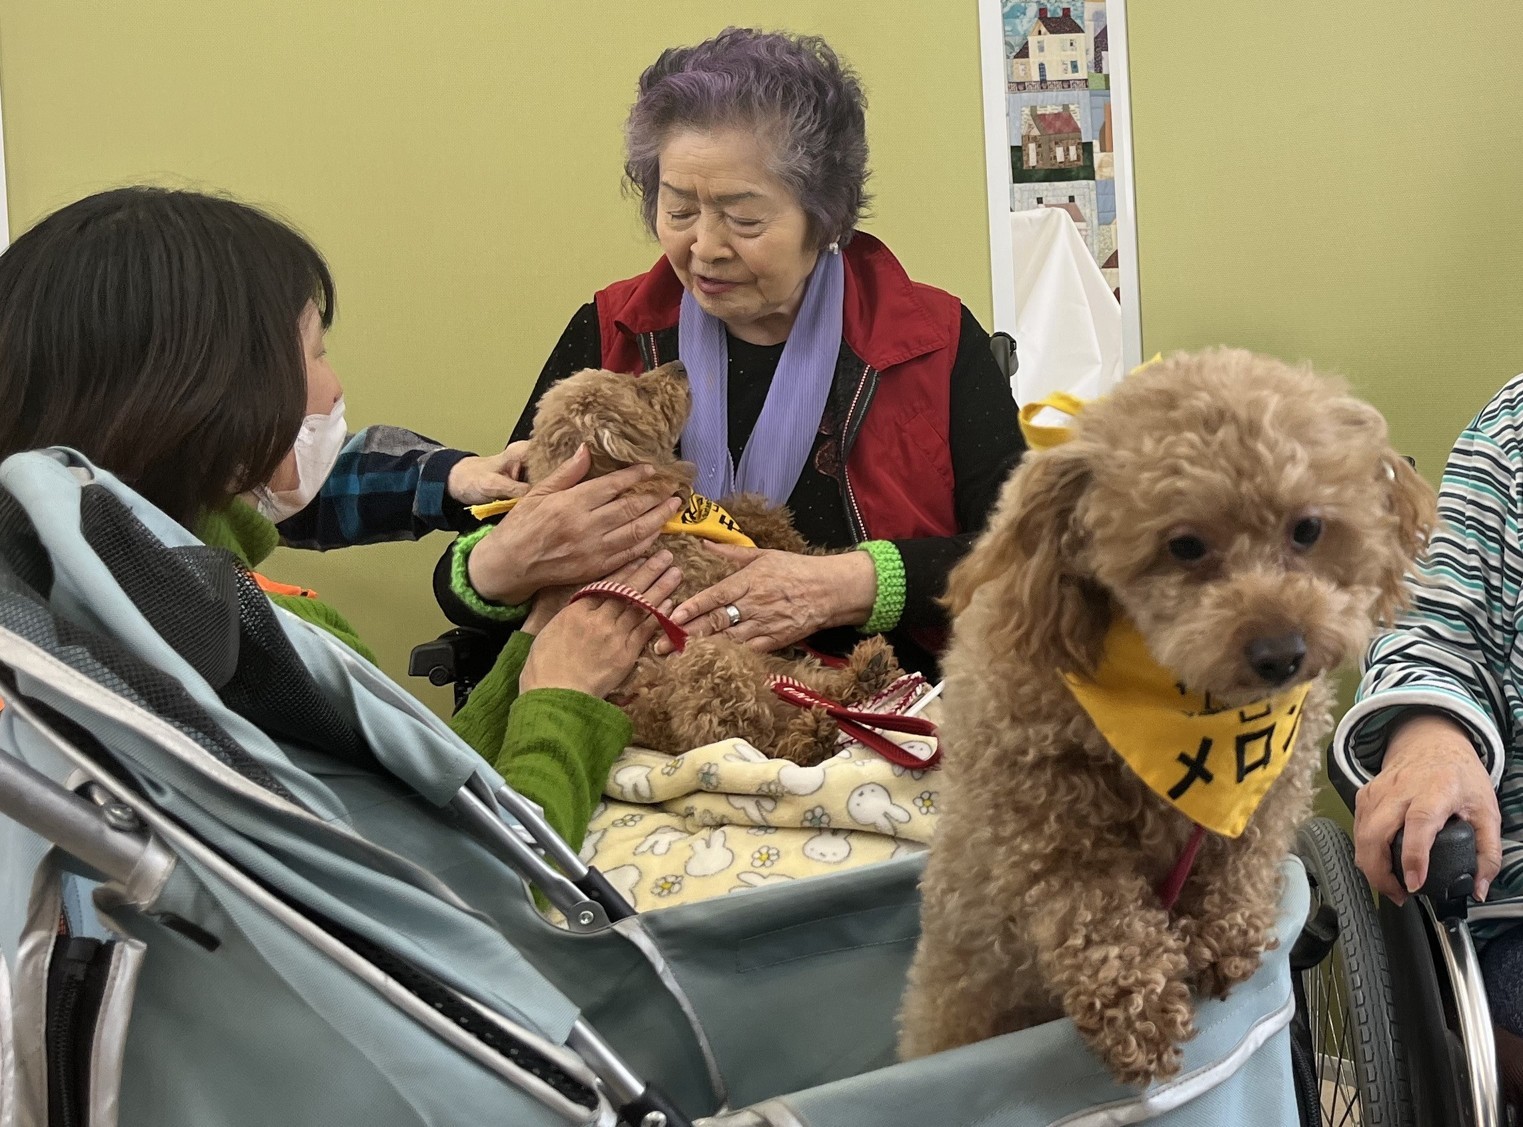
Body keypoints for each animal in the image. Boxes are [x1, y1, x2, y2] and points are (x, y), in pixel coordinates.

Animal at [523, 361, 903, 765]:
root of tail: (653, 730)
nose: (679, 366)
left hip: (770, 667)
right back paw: (809, 737)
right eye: (640, 391)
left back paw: (865, 672)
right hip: (707, 659)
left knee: (815, 691)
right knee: (750, 736)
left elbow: (759, 520)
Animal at [897, 349, 1435, 1086]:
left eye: (1306, 529)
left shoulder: (1272, 780)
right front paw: (1137, 1003)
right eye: (1183, 546)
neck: (1194, 708)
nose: (1281, 654)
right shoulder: (1034, 800)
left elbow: (1247, 849)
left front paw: (1224, 934)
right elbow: (1087, 897)